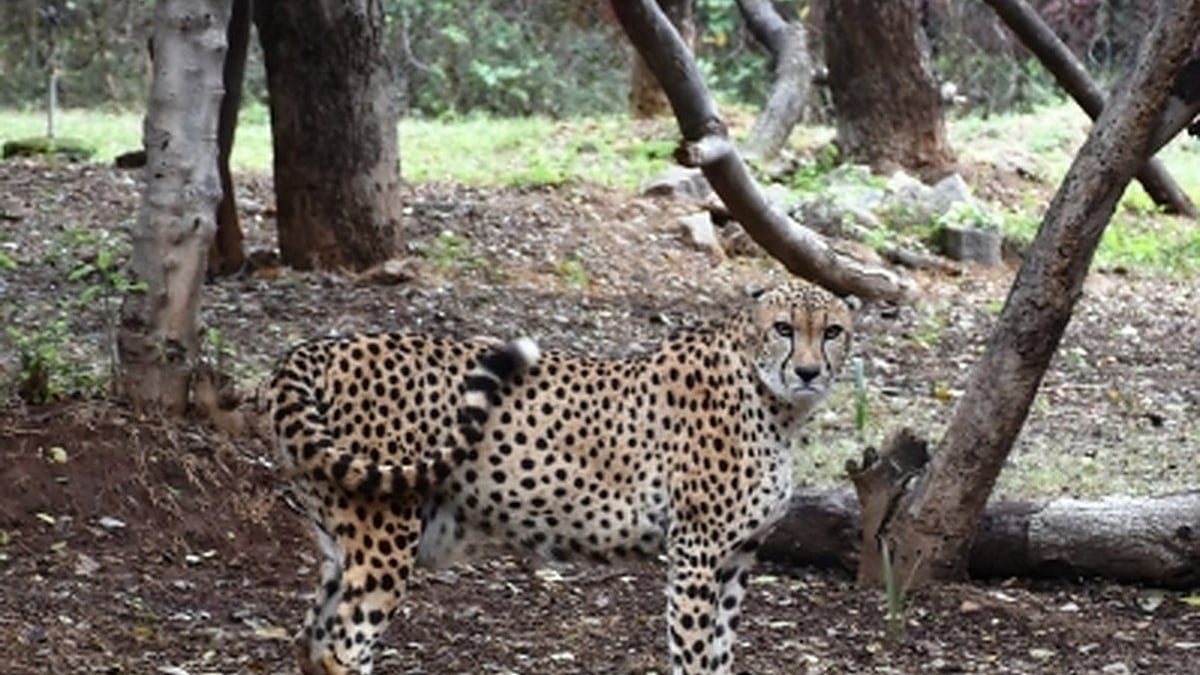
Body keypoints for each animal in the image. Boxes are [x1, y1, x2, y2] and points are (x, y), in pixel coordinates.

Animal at [268, 280, 855, 675]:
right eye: (783, 328)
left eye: (832, 332)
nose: (808, 372)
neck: (776, 404)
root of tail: (323, 345)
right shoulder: (697, 550)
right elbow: (693, 654)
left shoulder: (738, 555)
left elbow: (720, 653)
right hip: (384, 538)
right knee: (343, 646)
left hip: (342, 541)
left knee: (311, 640)